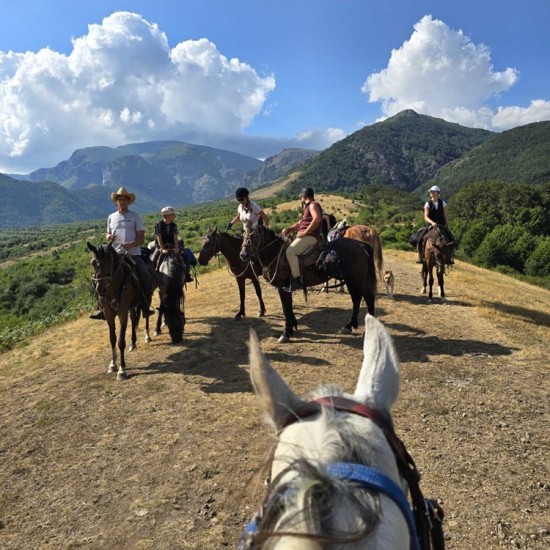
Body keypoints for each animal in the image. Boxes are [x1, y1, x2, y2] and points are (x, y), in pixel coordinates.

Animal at [87, 244, 155, 382]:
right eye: (93, 263)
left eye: (110, 262)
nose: (99, 290)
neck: (112, 289)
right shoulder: (108, 314)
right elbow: (112, 339)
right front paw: (112, 364)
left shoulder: (122, 313)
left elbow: (120, 341)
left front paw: (122, 370)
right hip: (133, 306)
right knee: (134, 320)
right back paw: (133, 343)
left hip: (146, 298)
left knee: (145, 317)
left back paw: (147, 336)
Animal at [239, 226, 378, 342]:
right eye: (243, 235)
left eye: (256, 236)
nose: (243, 254)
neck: (276, 254)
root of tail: (360, 244)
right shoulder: (286, 288)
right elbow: (289, 307)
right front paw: (292, 327)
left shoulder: (282, 288)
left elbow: (285, 309)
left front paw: (285, 333)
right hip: (350, 280)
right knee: (356, 299)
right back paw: (350, 325)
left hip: (359, 280)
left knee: (369, 298)